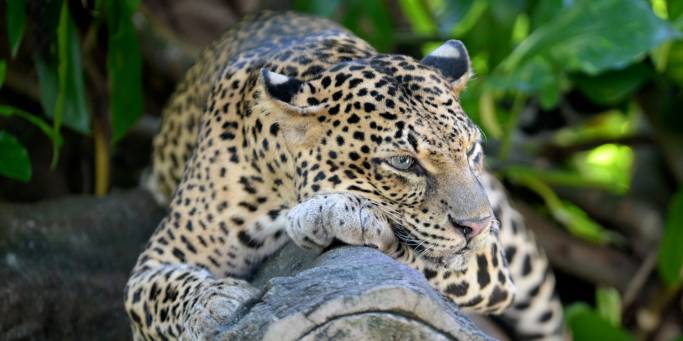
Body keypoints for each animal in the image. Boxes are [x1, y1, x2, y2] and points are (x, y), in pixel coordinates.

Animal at [127, 10, 568, 340]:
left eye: (472, 150)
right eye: (403, 162)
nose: (477, 226)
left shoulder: (488, 261)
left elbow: (418, 252)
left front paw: (338, 216)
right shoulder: (159, 260)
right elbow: (161, 293)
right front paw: (216, 303)